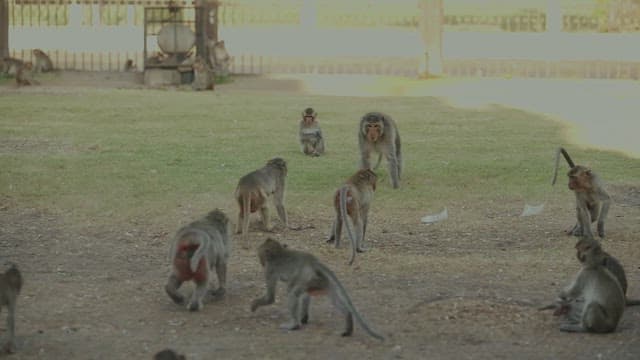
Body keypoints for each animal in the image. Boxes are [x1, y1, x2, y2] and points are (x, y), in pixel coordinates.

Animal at [250, 238, 384, 342]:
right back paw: (347, 321)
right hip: (323, 282)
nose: (261, 262)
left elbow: (270, 298)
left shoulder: (269, 270)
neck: (278, 253)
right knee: (319, 296)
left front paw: (254, 305)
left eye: (260, 255)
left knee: (292, 293)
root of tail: (314, 261)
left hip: (306, 277)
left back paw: (294, 325)